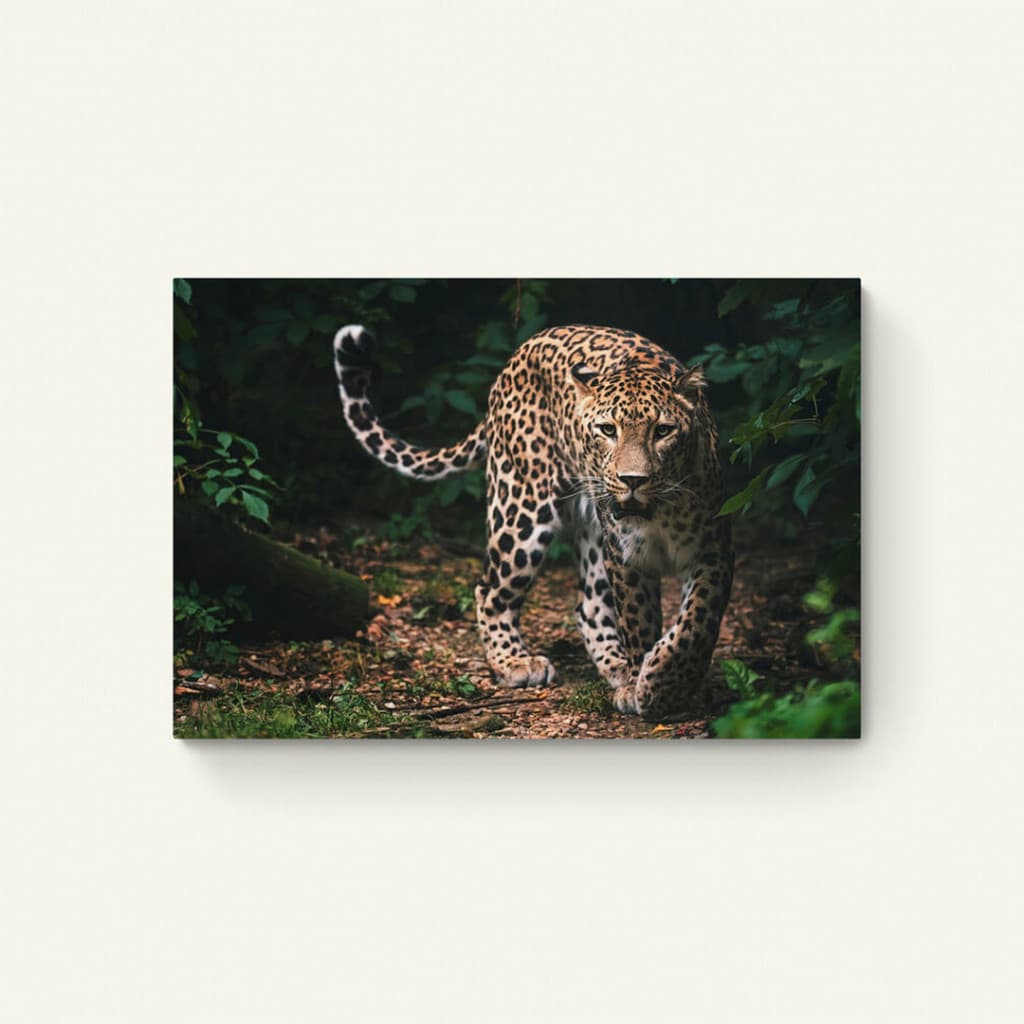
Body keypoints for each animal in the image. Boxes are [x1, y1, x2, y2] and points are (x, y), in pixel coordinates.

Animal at [333, 322, 733, 720]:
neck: (658, 513)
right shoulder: (626, 558)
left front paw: (663, 684)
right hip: (522, 510)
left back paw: (616, 669)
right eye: (608, 430)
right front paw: (648, 687)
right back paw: (516, 663)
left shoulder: (712, 551)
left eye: (663, 431)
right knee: (489, 589)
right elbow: (639, 623)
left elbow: (696, 625)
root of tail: (520, 352)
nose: (632, 480)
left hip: (590, 531)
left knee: (589, 604)